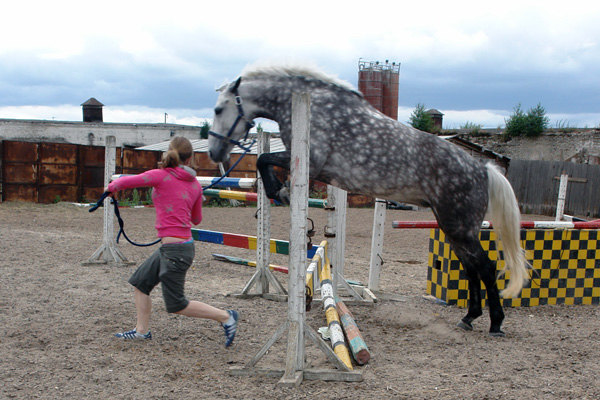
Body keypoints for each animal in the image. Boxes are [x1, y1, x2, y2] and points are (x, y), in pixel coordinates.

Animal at [209, 63, 528, 338]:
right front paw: (280, 191)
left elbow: (263, 158)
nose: (214, 152)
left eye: (218, 108)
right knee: (472, 268)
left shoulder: (312, 160)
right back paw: (469, 318)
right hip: (452, 227)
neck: (314, 105)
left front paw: (280, 191)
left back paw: (495, 323)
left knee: (485, 268)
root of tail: (483, 169)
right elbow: (265, 160)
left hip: (459, 227)